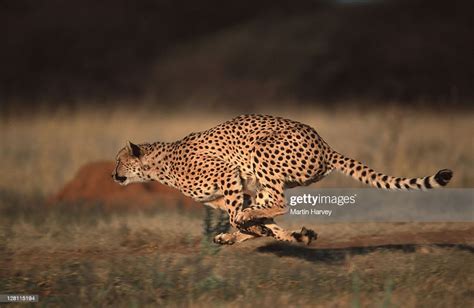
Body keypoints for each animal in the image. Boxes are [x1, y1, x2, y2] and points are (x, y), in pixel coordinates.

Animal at [112, 115, 456, 245]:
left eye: (118, 160)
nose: (112, 174)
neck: (160, 165)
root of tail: (325, 145)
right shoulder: (239, 190)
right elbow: (255, 219)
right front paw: (290, 236)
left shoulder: (229, 176)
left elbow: (240, 216)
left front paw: (253, 231)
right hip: (268, 177)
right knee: (271, 204)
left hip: (261, 150)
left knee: (279, 203)